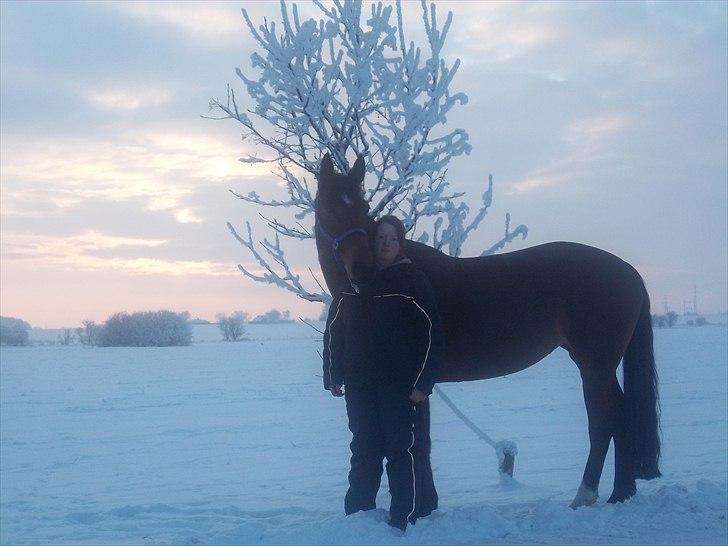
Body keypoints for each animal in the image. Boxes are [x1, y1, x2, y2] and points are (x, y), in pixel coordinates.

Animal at [312, 153, 660, 506]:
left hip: (595, 366)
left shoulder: (417, 380)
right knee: (622, 417)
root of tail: (628, 270)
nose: (363, 269)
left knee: (604, 421)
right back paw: (620, 493)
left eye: (363, 206)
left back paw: (586, 495)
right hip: (599, 366)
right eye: (328, 206)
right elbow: (421, 441)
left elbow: (419, 443)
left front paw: (423, 506)